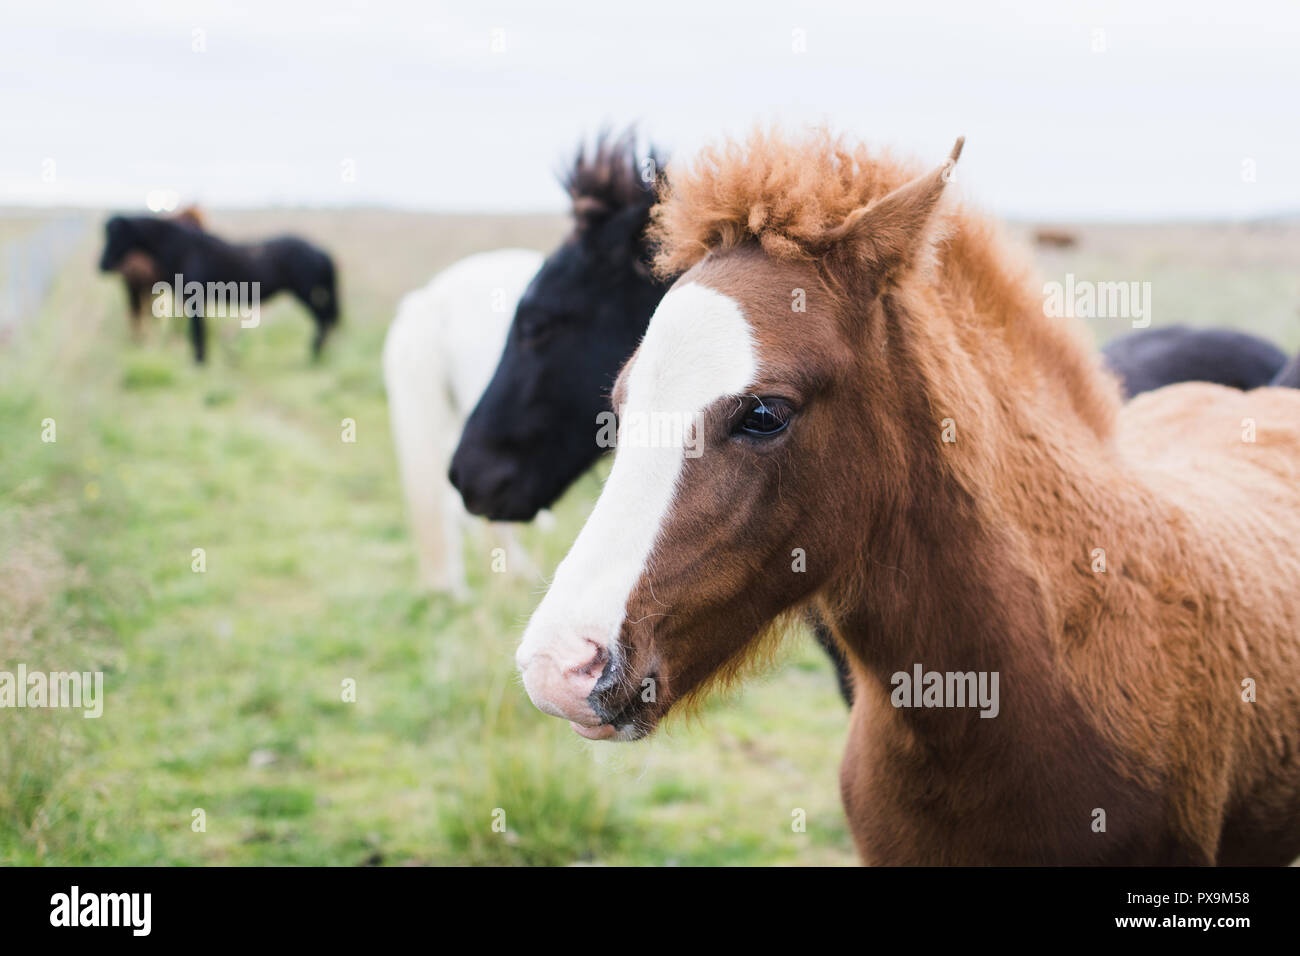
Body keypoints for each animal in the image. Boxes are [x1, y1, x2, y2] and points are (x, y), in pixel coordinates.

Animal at [98, 215, 339, 363]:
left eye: (117, 235)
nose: (102, 264)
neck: (183, 248)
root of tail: (320, 250)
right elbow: (199, 332)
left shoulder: (194, 299)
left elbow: (198, 333)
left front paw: (199, 362)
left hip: (306, 293)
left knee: (323, 320)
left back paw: (314, 354)